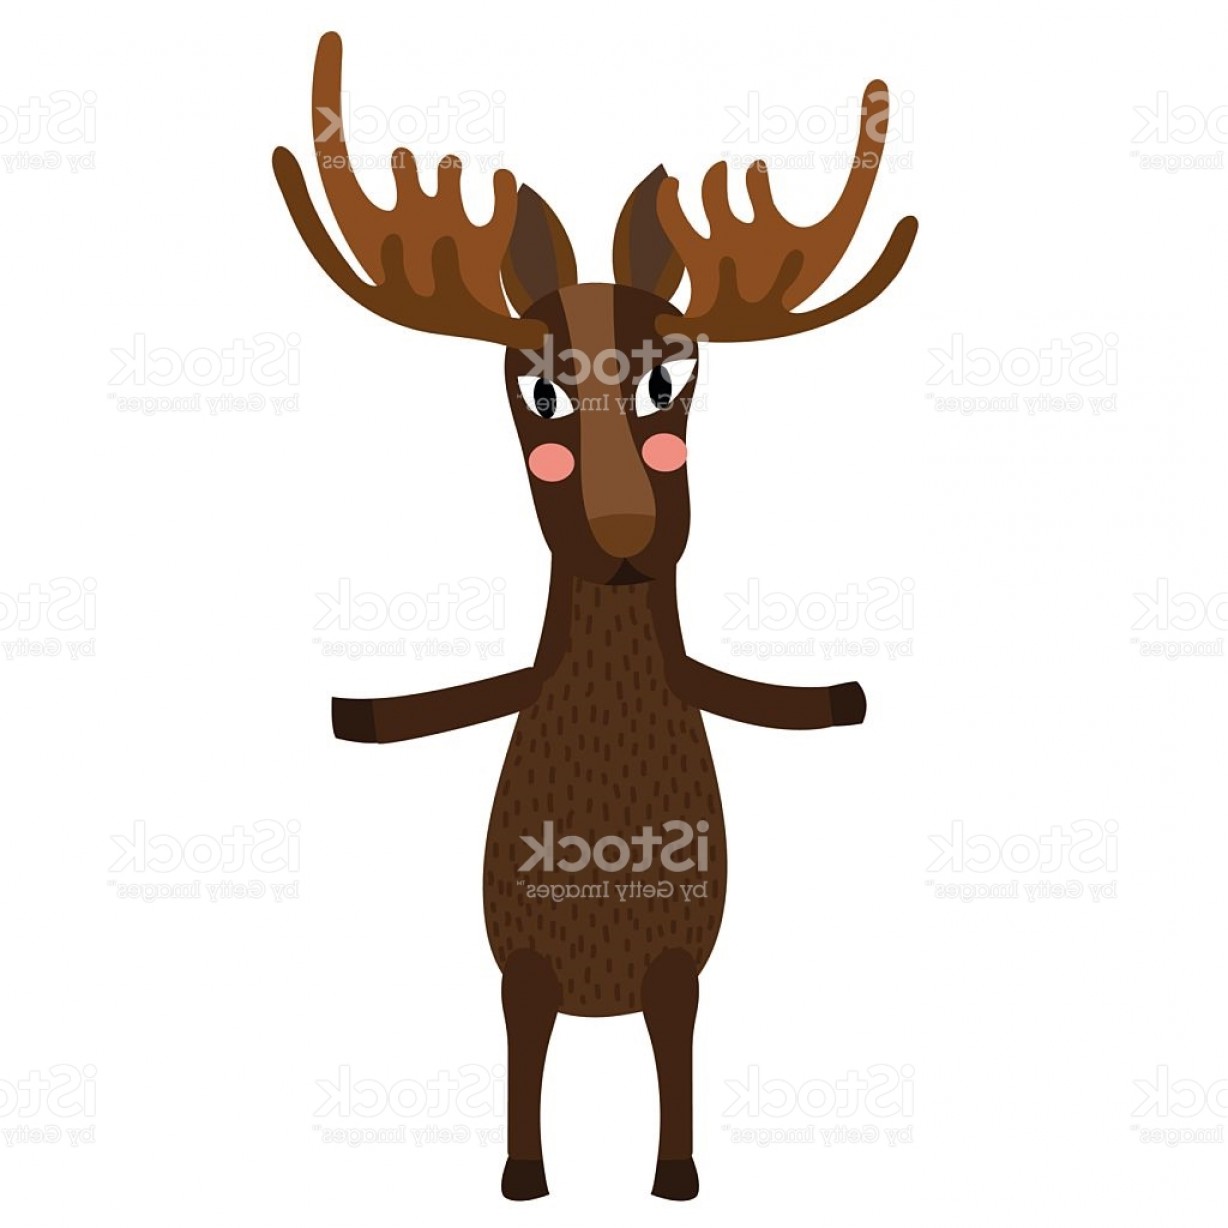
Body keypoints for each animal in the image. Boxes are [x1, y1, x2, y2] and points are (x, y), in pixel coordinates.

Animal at [273, 32, 916, 1202]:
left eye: (673, 379)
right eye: (538, 395)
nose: (623, 529)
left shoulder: (682, 958)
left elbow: (678, 1046)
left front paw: (676, 1178)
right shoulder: (517, 958)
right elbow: (522, 1048)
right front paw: (522, 1179)